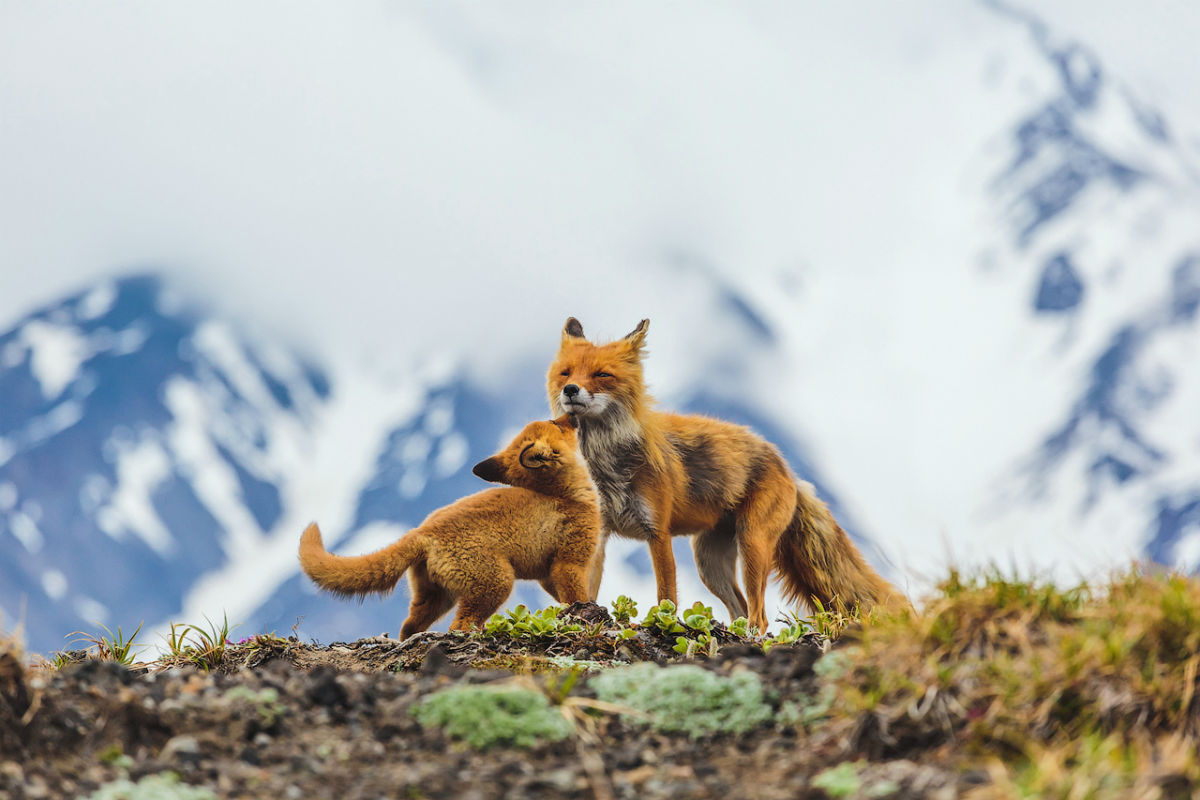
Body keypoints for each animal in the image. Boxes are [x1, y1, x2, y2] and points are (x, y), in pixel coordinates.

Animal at [300, 419, 600, 638]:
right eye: (557, 423)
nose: (571, 413)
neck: (564, 495)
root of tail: (423, 530)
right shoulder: (569, 562)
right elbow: (577, 598)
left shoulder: (547, 574)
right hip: (496, 584)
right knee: (459, 625)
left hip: (436, 597)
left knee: (408, 627)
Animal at [547, 316, 902, 633]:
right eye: (566, 372)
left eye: (601, 374)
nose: (571, 389)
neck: (607, 465)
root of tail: (787, 467)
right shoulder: (600, 532)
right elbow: (587, 589)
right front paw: (582, 616)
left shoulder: (658, 533)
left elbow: (667, 598)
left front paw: (662, 625)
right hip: (710, 564)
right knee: (741, 609)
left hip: (753, 546)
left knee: (759, 616)